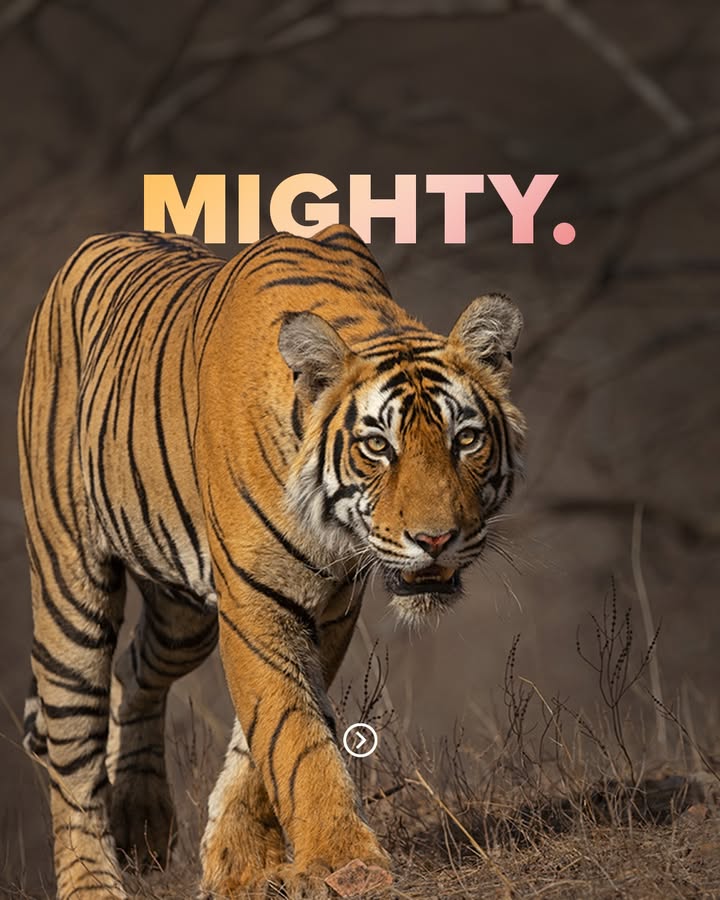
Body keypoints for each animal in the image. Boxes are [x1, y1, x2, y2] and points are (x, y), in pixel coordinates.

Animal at [18, 224, 525, 899]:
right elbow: (292, 734)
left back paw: (142, 821)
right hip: (70, 584)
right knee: (72, 746)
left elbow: (263, 743)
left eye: (465, 439)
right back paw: (92, 883)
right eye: (376, 446)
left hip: (184, 620)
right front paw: (344, 863)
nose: (436, 538)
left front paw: (238, 865)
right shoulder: (256, 601)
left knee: (135, 671)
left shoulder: (328, 609)